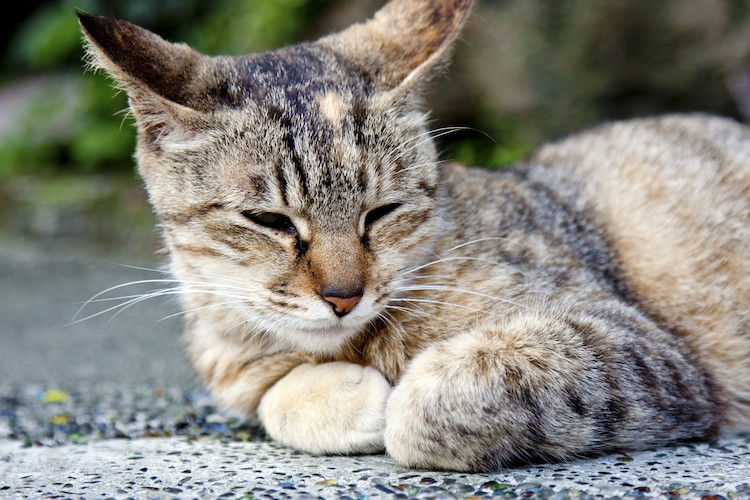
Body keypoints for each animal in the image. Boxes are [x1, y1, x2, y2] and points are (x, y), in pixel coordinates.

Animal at [79, 0, 750, 470]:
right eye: (269, 220)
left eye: (382, 211)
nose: (343, 296)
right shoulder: (237, 370)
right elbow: (274, 397)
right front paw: (348, 396)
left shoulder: (642, 346)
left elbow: (445, 395)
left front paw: (404, 395)